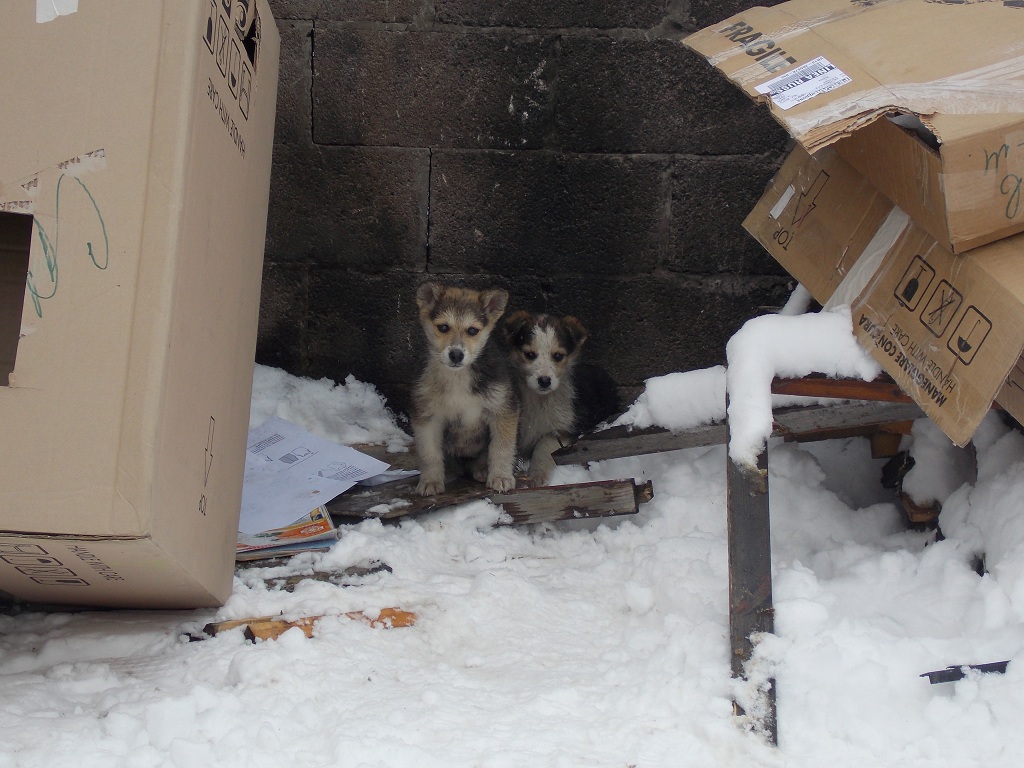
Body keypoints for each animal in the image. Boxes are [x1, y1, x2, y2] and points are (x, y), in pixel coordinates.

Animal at [409, 284, 520, 499]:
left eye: (472, 330)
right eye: (443, 327)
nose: (456, 355)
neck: (458, 376)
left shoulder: (502, 410)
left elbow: (501, 448)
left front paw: (501, 477)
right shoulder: (426, 417)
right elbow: (429, 454)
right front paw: (430, 482)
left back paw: (482, 469)